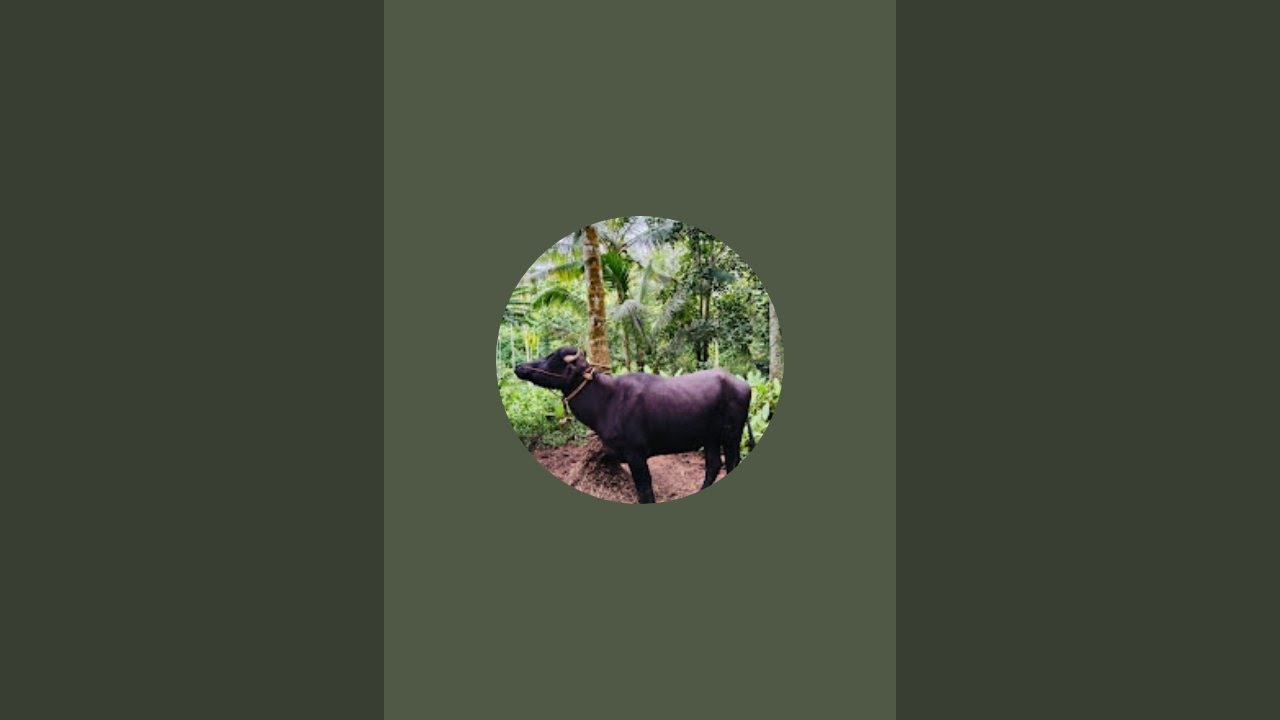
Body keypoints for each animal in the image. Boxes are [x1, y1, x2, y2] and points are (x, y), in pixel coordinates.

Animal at [515, 346, 755, 503]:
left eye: (552, 358)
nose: (519, 366)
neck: (607, 400)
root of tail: (743, 384)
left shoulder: (636, 455)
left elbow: (645, 490)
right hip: (711, 438)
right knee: (713, 466)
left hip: (732, 436)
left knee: (731, 463)